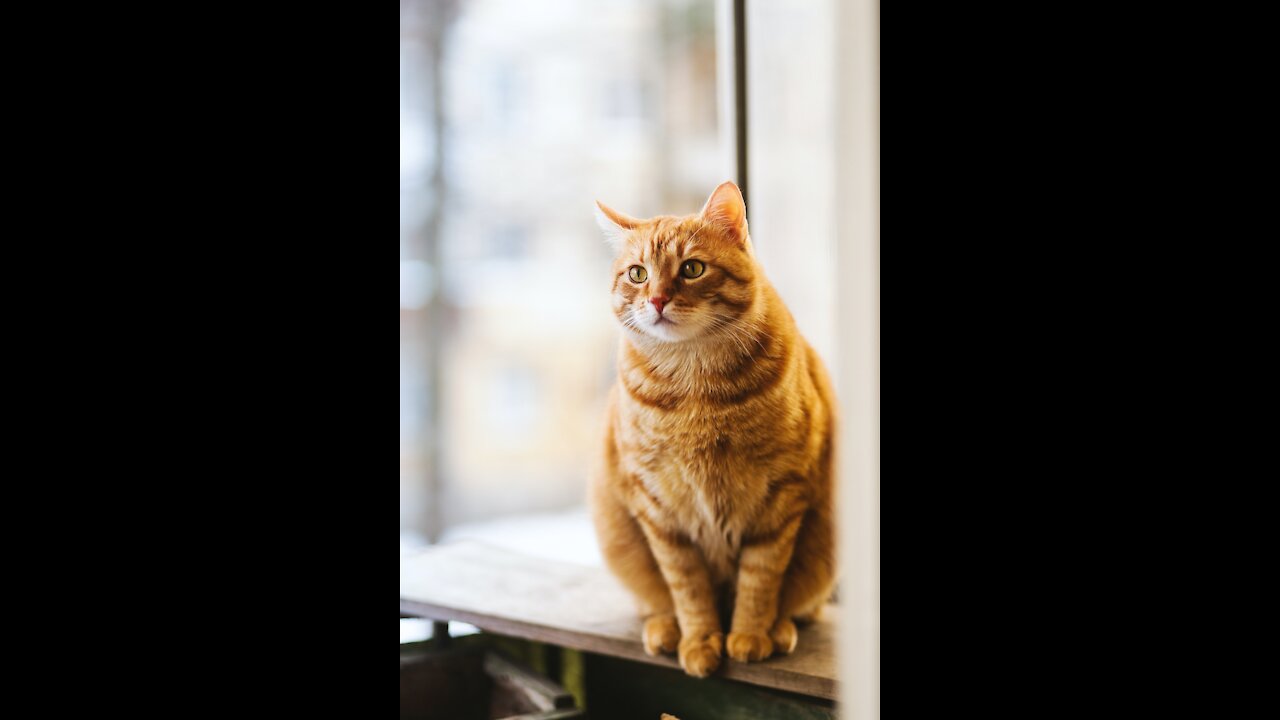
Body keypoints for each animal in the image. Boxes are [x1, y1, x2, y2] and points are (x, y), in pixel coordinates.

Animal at [586, 181, 834, 676]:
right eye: (638, 274)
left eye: (692, 269)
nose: (657, 300)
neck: (695, 387)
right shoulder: (659, 510)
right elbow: (687, 587)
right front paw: (700, 640)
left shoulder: (782, 495)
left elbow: (761, 577)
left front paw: (750, 634)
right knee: (655, 600)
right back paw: (665, 628)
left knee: (803, 604)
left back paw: (780, 628)